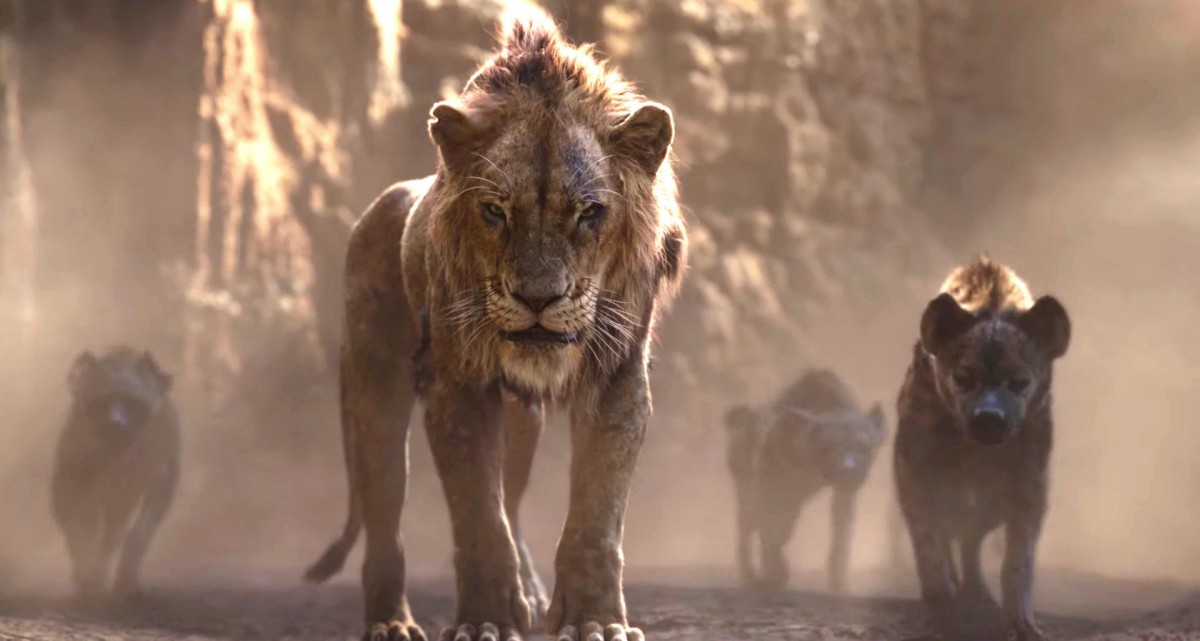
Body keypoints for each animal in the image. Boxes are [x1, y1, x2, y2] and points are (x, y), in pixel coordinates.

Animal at [52, 346, 179, 603]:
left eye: (134, 403)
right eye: (102, 401)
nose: (116, 424)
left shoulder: (159, 485)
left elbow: (139, 533)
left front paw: (125, 583)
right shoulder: (69, 483)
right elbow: (78, 532)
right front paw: (87, 580)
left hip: (121, 502)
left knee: (112, 537)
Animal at [304, 7, 686, 641]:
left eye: (589, 213)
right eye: (495, 211)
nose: (537, 298)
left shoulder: (618, 378)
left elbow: (595, 515)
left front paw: (593, 620)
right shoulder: (457, 384)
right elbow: (478, 516)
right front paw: (484, 621)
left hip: (522, 421)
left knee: (511, 496)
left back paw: (529, 592)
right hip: (374, 390)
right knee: (386, 517)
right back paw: (390, 622)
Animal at [725, 369, 887, 594]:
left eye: (864, 447)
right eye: (828, 447)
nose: (849, 471)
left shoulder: (842, 494)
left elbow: (841, 535)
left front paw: (839, 584)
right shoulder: (769, 486)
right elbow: (770, 530)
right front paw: (774, 576)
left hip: (793, 500)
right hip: (746, 488)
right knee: (746, 529)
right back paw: (748, 578)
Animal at [895, 256, 1070, 641]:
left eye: (1019, 382)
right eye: (963, 378)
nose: (990, 417)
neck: (975, 452)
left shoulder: (1029, 476)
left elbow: (1019, 556)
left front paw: (1021, 624)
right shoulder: (915, 464)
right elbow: (927, 534)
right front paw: (940, 599)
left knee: (971, 537)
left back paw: (977, 592)